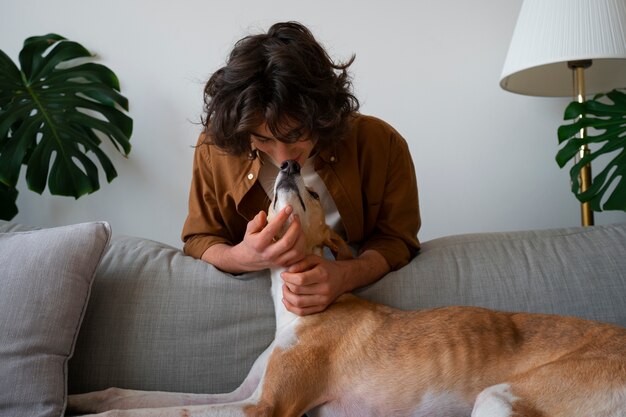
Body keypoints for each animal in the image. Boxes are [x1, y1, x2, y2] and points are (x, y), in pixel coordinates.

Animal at [68, 159, 624, 416]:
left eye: (315, 194)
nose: (289, 164)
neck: (300, 310)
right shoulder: (243, 392)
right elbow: (133, 394)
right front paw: (80, 398)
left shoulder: (262, 406)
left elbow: (157, 409)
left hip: (502, 397)